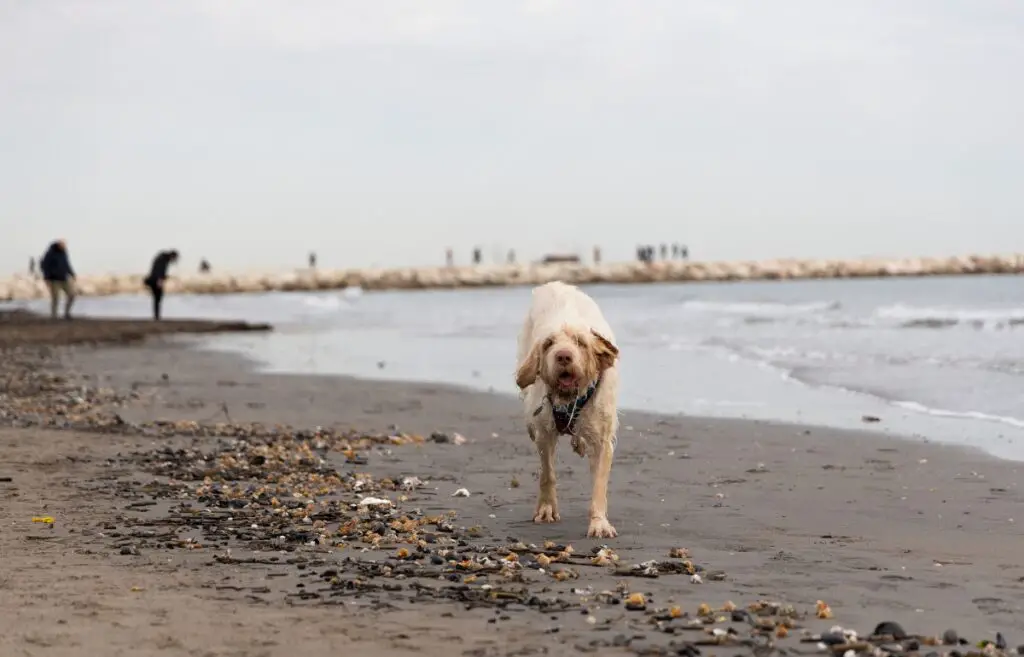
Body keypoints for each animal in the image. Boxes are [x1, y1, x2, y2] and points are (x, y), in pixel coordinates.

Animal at [516, 278, 618, 536]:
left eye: (580, 343)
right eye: (549, 343)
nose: (563, 356)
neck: (568, 399)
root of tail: (555, 283)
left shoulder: (602, 440)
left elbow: (599, 484)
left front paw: (599, 523)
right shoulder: (545, 432)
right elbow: (547, 473)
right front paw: (546, 509)